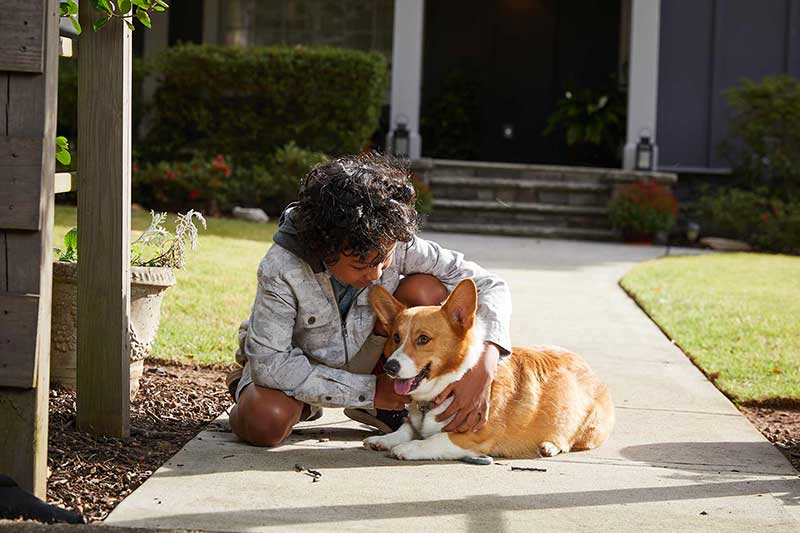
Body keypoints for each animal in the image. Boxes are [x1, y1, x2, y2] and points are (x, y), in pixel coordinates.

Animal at [362, 278, 612, 462]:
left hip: (586, 425)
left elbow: (434, 440)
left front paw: (408, 448)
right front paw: (385, 439)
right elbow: (406, 428)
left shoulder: (473, 437)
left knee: (570, 440)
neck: (453, 380)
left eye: (423, 339)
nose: (390, 367)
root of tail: (589, 368)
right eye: (396, 337)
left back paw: (550, 446)